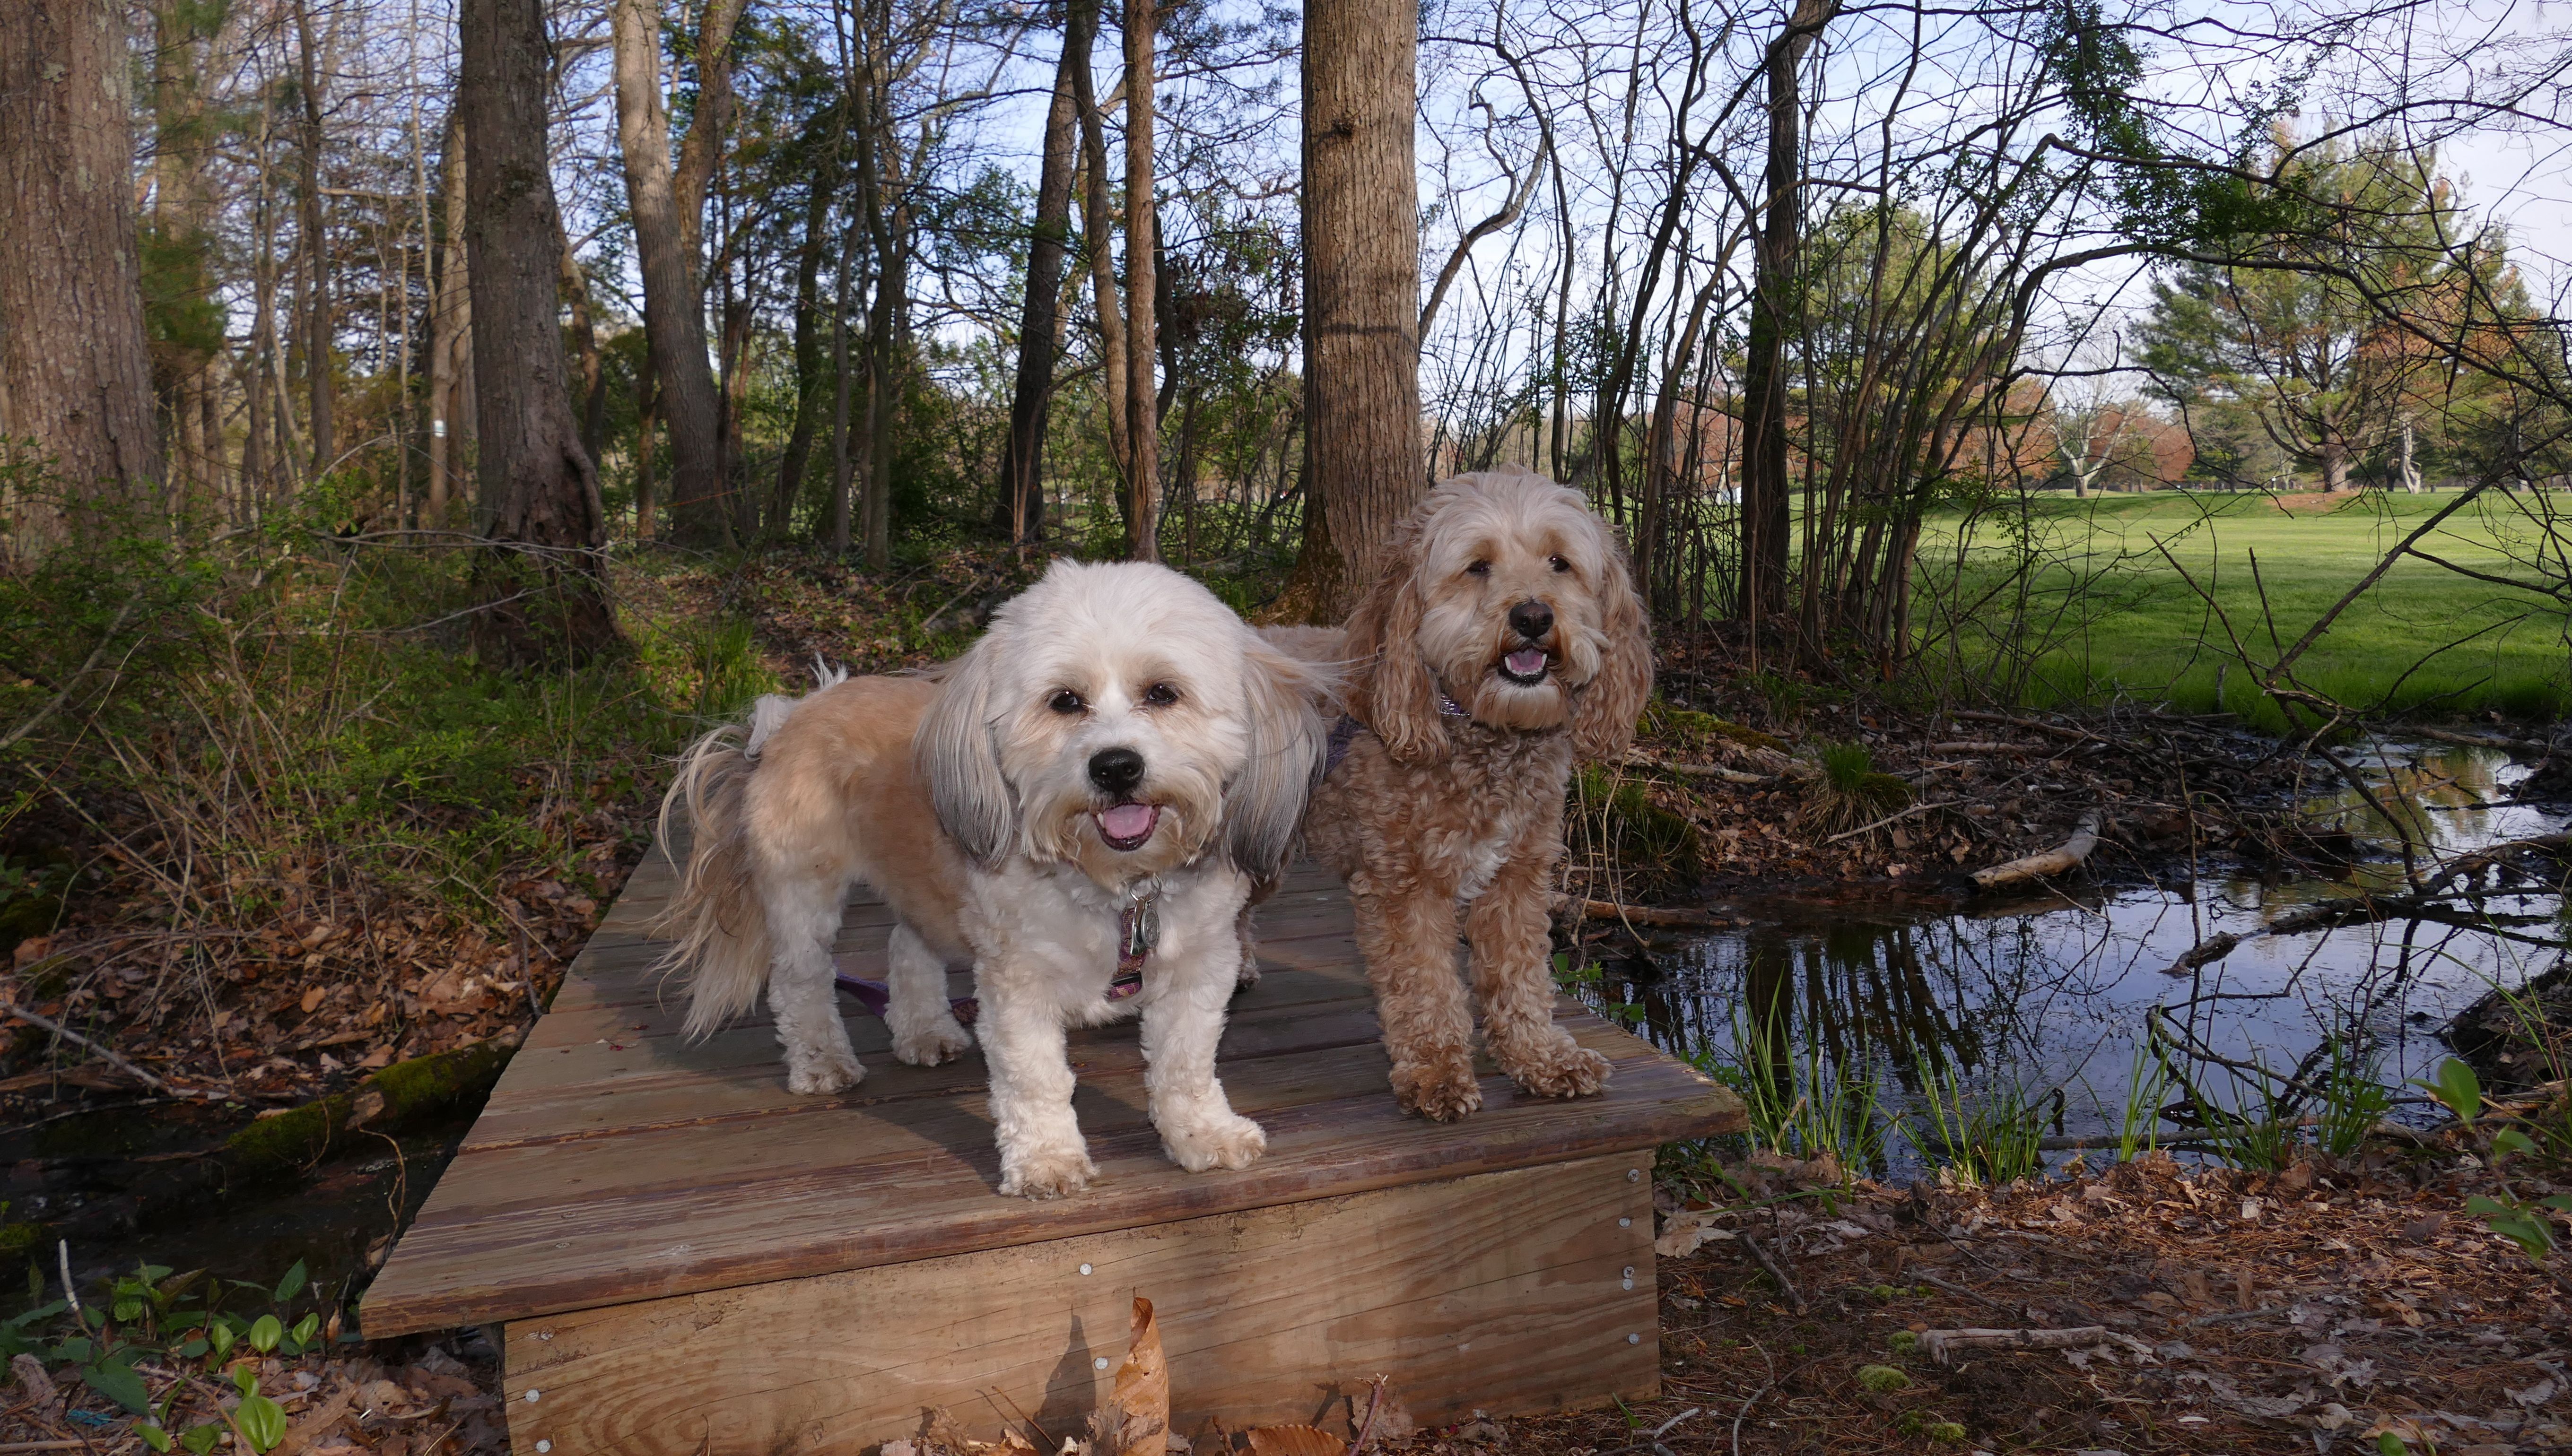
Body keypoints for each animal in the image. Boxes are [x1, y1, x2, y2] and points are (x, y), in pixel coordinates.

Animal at [652, 560, 1332, 1197]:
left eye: (1163, 692)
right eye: (1064, 700)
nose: (1115, 767)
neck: (1118, 886)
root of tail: (796, 711)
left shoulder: (1200, 965)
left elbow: (1185, 1063)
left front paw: (1203, 1134)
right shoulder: (1017, 981)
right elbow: (1036, 1078)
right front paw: (1046, 1160)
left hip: (920, 884)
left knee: (907, 944)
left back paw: (925, 1030)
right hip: (803, 891)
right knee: (802, 981)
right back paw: (822, 1063)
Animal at [1283, 466, 1652, 1122]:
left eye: (1559, 562)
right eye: (1478, 565)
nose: (1532, 616)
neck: (1483, 737)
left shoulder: (1519, 877)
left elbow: (1519, 975)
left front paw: (1539, 1057)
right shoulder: (1403, 885)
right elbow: (1425, 984)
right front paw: (1435, 1069)